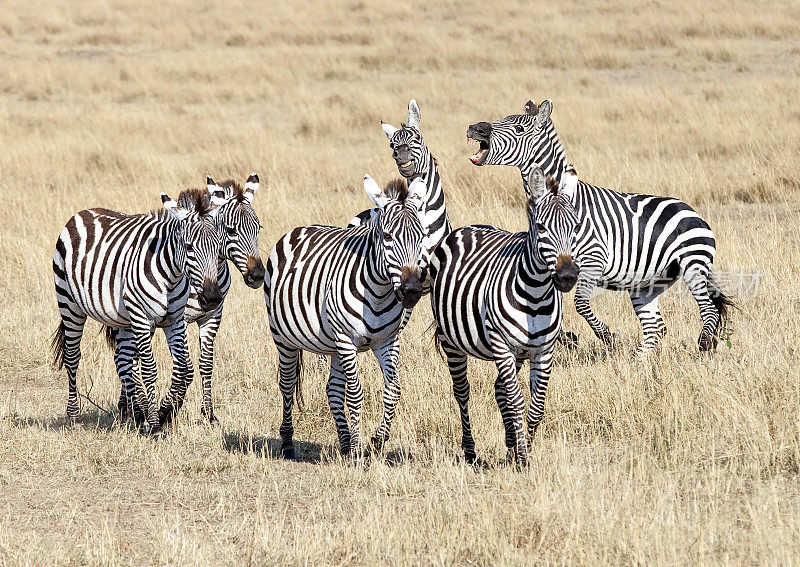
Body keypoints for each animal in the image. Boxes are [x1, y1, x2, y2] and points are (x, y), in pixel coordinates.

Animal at [50, 187, 225, 434]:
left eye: (218, 248)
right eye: (189, 247)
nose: (212, 298)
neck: (171, 276)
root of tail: (83, 212)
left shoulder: (174, 320)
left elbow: (183, 368)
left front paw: (163, 412)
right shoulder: (142, 318)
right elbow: (150, 369)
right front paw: (156, 424)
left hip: (121, 318)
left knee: (123, 360)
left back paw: (136, 413)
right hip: (69, 302)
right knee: (72, 355)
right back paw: (73, 415)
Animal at [114, 173, 264, 426]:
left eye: (258, 229)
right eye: (231, 231)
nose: (258, 276)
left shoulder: (212, 317)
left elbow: (205, 364)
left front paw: (209, 413)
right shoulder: (180, 319)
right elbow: (186, 368)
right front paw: (168, 410)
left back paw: (128, 408)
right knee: (127, 359)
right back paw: (134, 410)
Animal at [266, 175, 428, 460]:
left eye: (421, 237)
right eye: (387, 236)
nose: (411, 291)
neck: (379, 292)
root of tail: (299, 229)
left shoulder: (388, 341)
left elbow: (393, 390)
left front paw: (376, 442)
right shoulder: (346, 339)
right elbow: (354, 394)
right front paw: (357, 448)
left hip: (331, 344)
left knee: (332, 389)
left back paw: (342, 442)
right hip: (284, 338)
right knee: (287, 384)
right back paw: (287, 443)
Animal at [466, 97, 736, 356]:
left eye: (519, 129)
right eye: (501, 119)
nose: (475, 128)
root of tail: (692, 211)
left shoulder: (592, 260)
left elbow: (580, 304)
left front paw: (608, 337)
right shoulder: (552, 262)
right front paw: (564, 337)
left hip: (693, 264)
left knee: (708, 309)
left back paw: (705, 344)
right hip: (647, 283)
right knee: (656, 327)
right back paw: (637, 362)